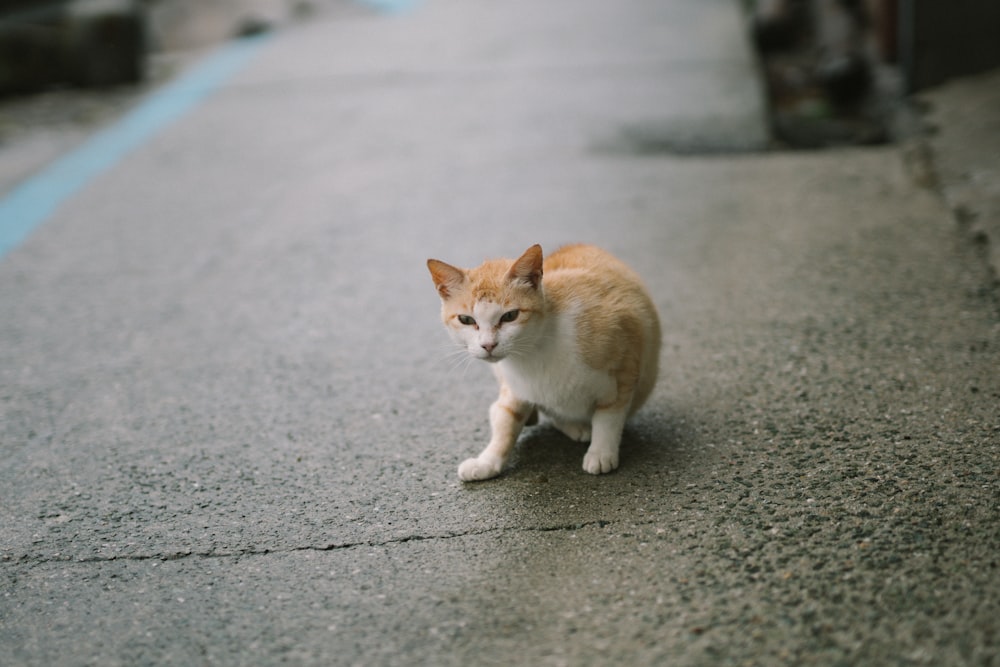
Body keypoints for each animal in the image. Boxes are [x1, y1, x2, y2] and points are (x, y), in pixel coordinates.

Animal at [426, 244, 660, 480]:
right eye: (466, 320)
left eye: (510, 316)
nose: (488, 345)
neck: (533, 351)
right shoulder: (514, 385)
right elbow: (506, 420)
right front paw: (488, 461)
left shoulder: (626, 360)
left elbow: (609, 416)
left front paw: (601, 452)